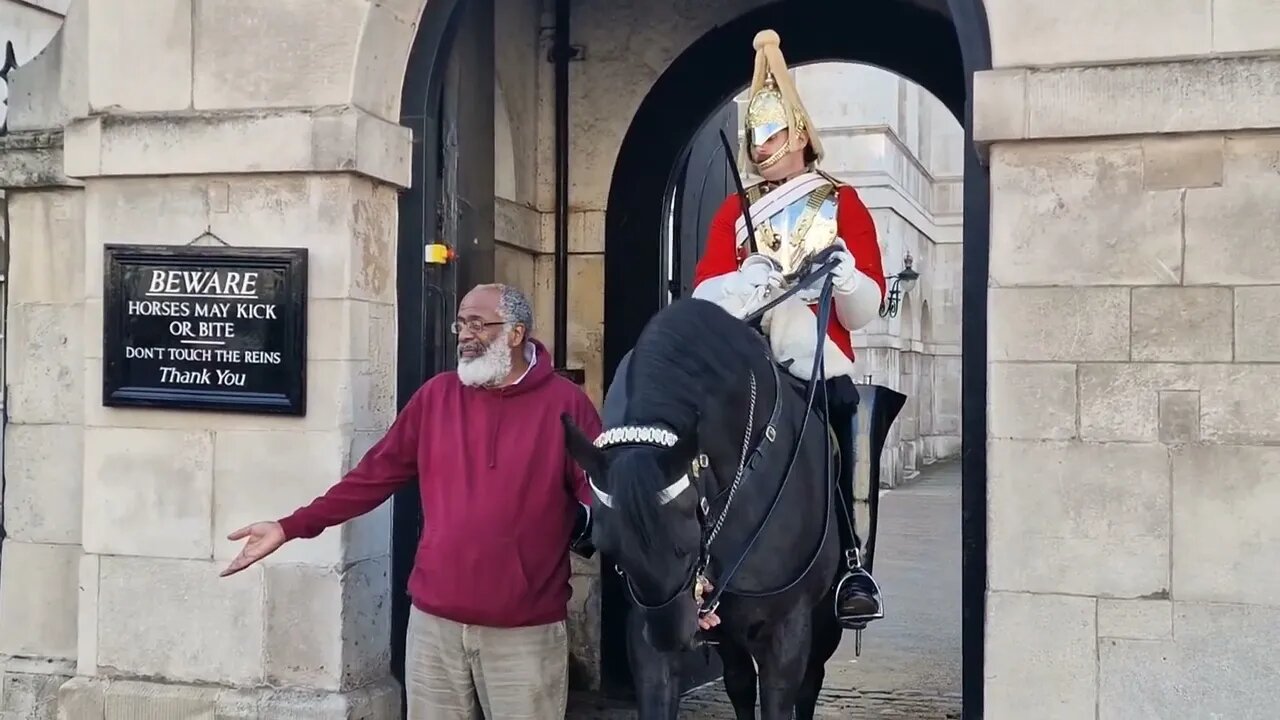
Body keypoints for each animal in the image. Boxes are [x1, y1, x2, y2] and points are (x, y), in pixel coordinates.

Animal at [563, 294, 844, 712]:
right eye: (613, 551)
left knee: (809, 684)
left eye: (685, 545)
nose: (672, 637)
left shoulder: (786, 631)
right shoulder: (647, 637)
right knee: (740, 681)